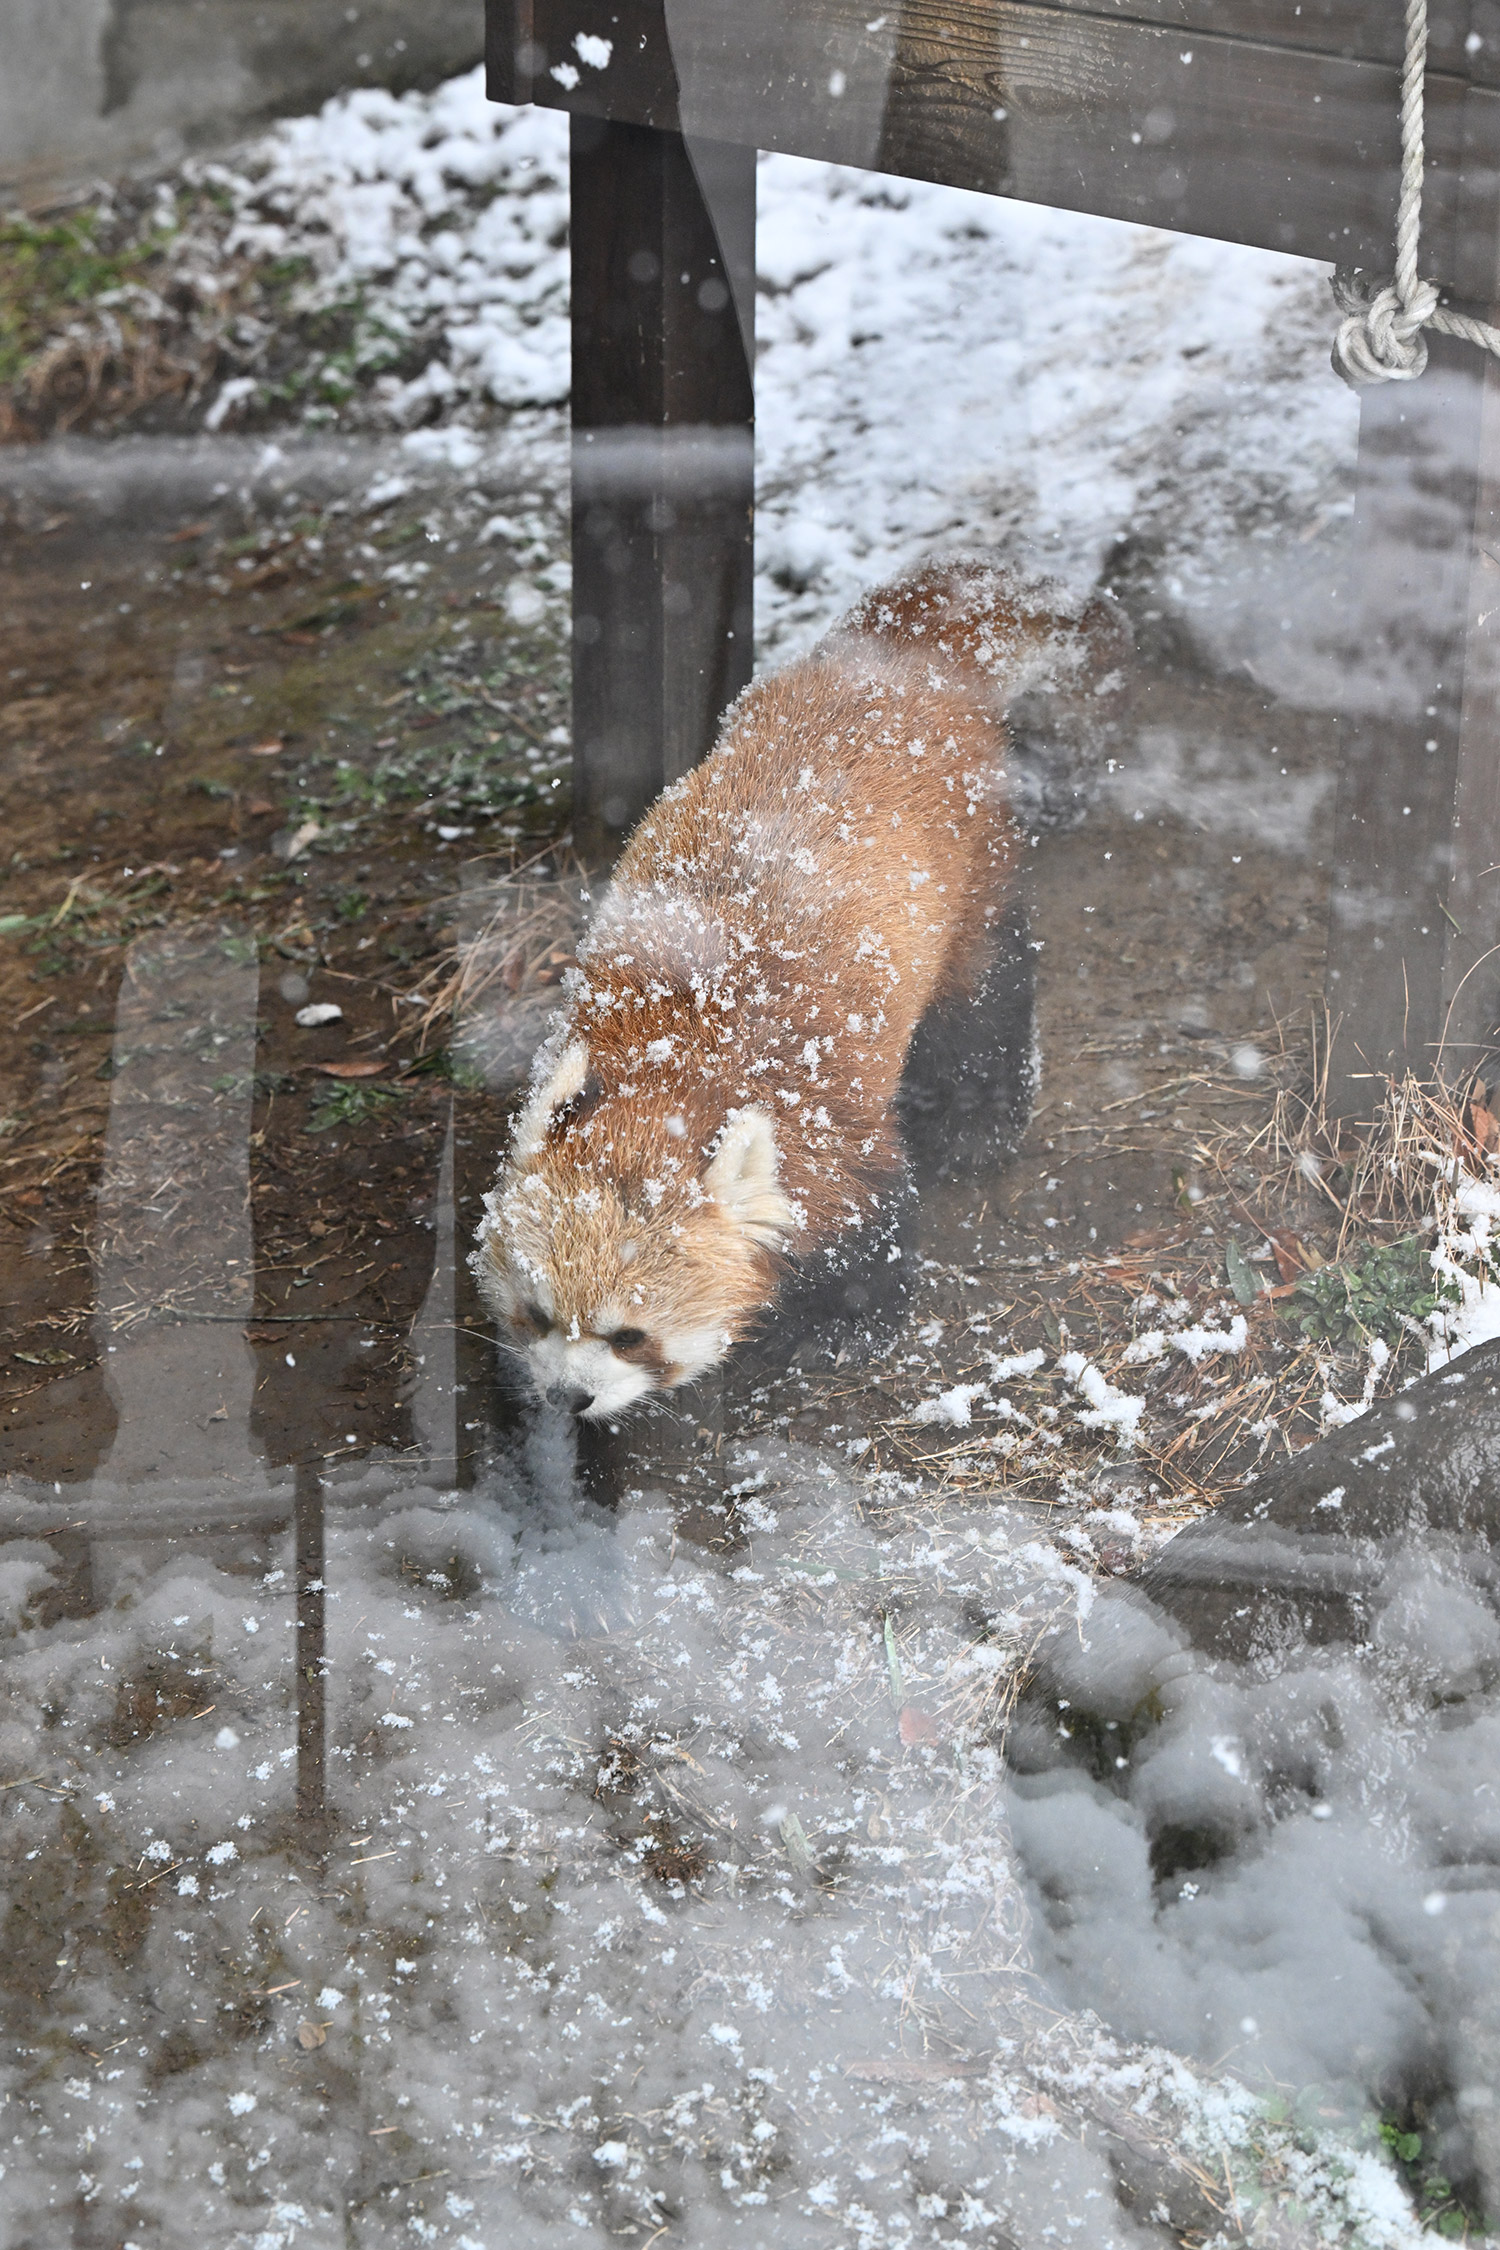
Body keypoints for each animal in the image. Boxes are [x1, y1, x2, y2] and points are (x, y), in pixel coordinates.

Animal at [472, 558, 1126, 1419]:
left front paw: (843, 1324)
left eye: (629, 1336)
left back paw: (979, 1119)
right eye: (538, 1315)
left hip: (971, 874)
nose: (567, 1397)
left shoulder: (829, 1125)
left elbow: (875, 1215)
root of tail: (893, 665)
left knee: (985, 996)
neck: (672, 1059)